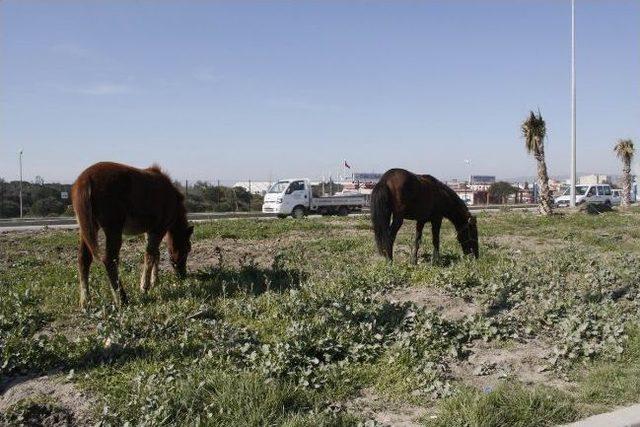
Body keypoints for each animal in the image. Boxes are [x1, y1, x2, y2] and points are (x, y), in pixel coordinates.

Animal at [72, 162, 192, 310]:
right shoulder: (159, 229)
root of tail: (85, 180)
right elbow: (150, 255)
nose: (182, 275)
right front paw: (145, 286)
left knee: (83, 259)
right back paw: (122, 299)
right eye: (187, 249)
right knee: (110, 260)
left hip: (88, 228)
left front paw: (155, 281)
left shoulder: (149, 231)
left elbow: (155, 254)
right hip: (113, 229)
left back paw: (85, 301)